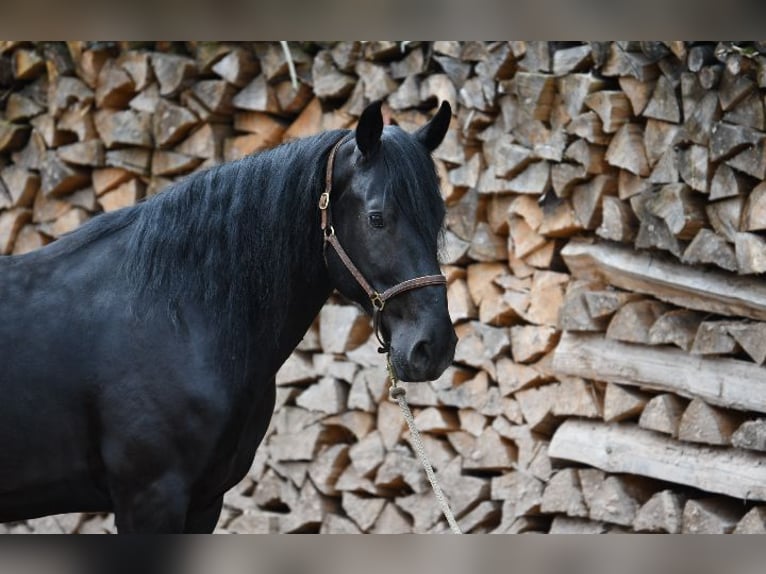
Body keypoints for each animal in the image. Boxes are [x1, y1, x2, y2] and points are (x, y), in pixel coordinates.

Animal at [0, 100, 456, 536]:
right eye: (376, 218)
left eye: (439, 219)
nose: (433, 347)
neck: (174, 317)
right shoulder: (148, 498)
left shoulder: (205, 501)